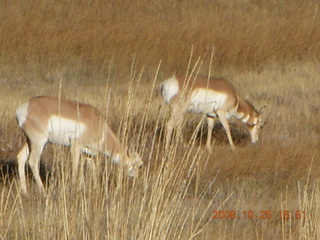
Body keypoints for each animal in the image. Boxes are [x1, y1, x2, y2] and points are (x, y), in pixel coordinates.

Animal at [15, 95, 143, 193]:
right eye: (137, 164)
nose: (135, 179)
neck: (98, 124)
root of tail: (24, 108)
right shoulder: (75, 146)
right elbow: (76, 168)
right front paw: (74, 188)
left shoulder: (88, 153)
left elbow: (93, 169)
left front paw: (95, 188)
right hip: (39, 142)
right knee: (32, 162)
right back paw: (43, 190)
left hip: (29, 141)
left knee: (21, 157)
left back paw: (24, 191)